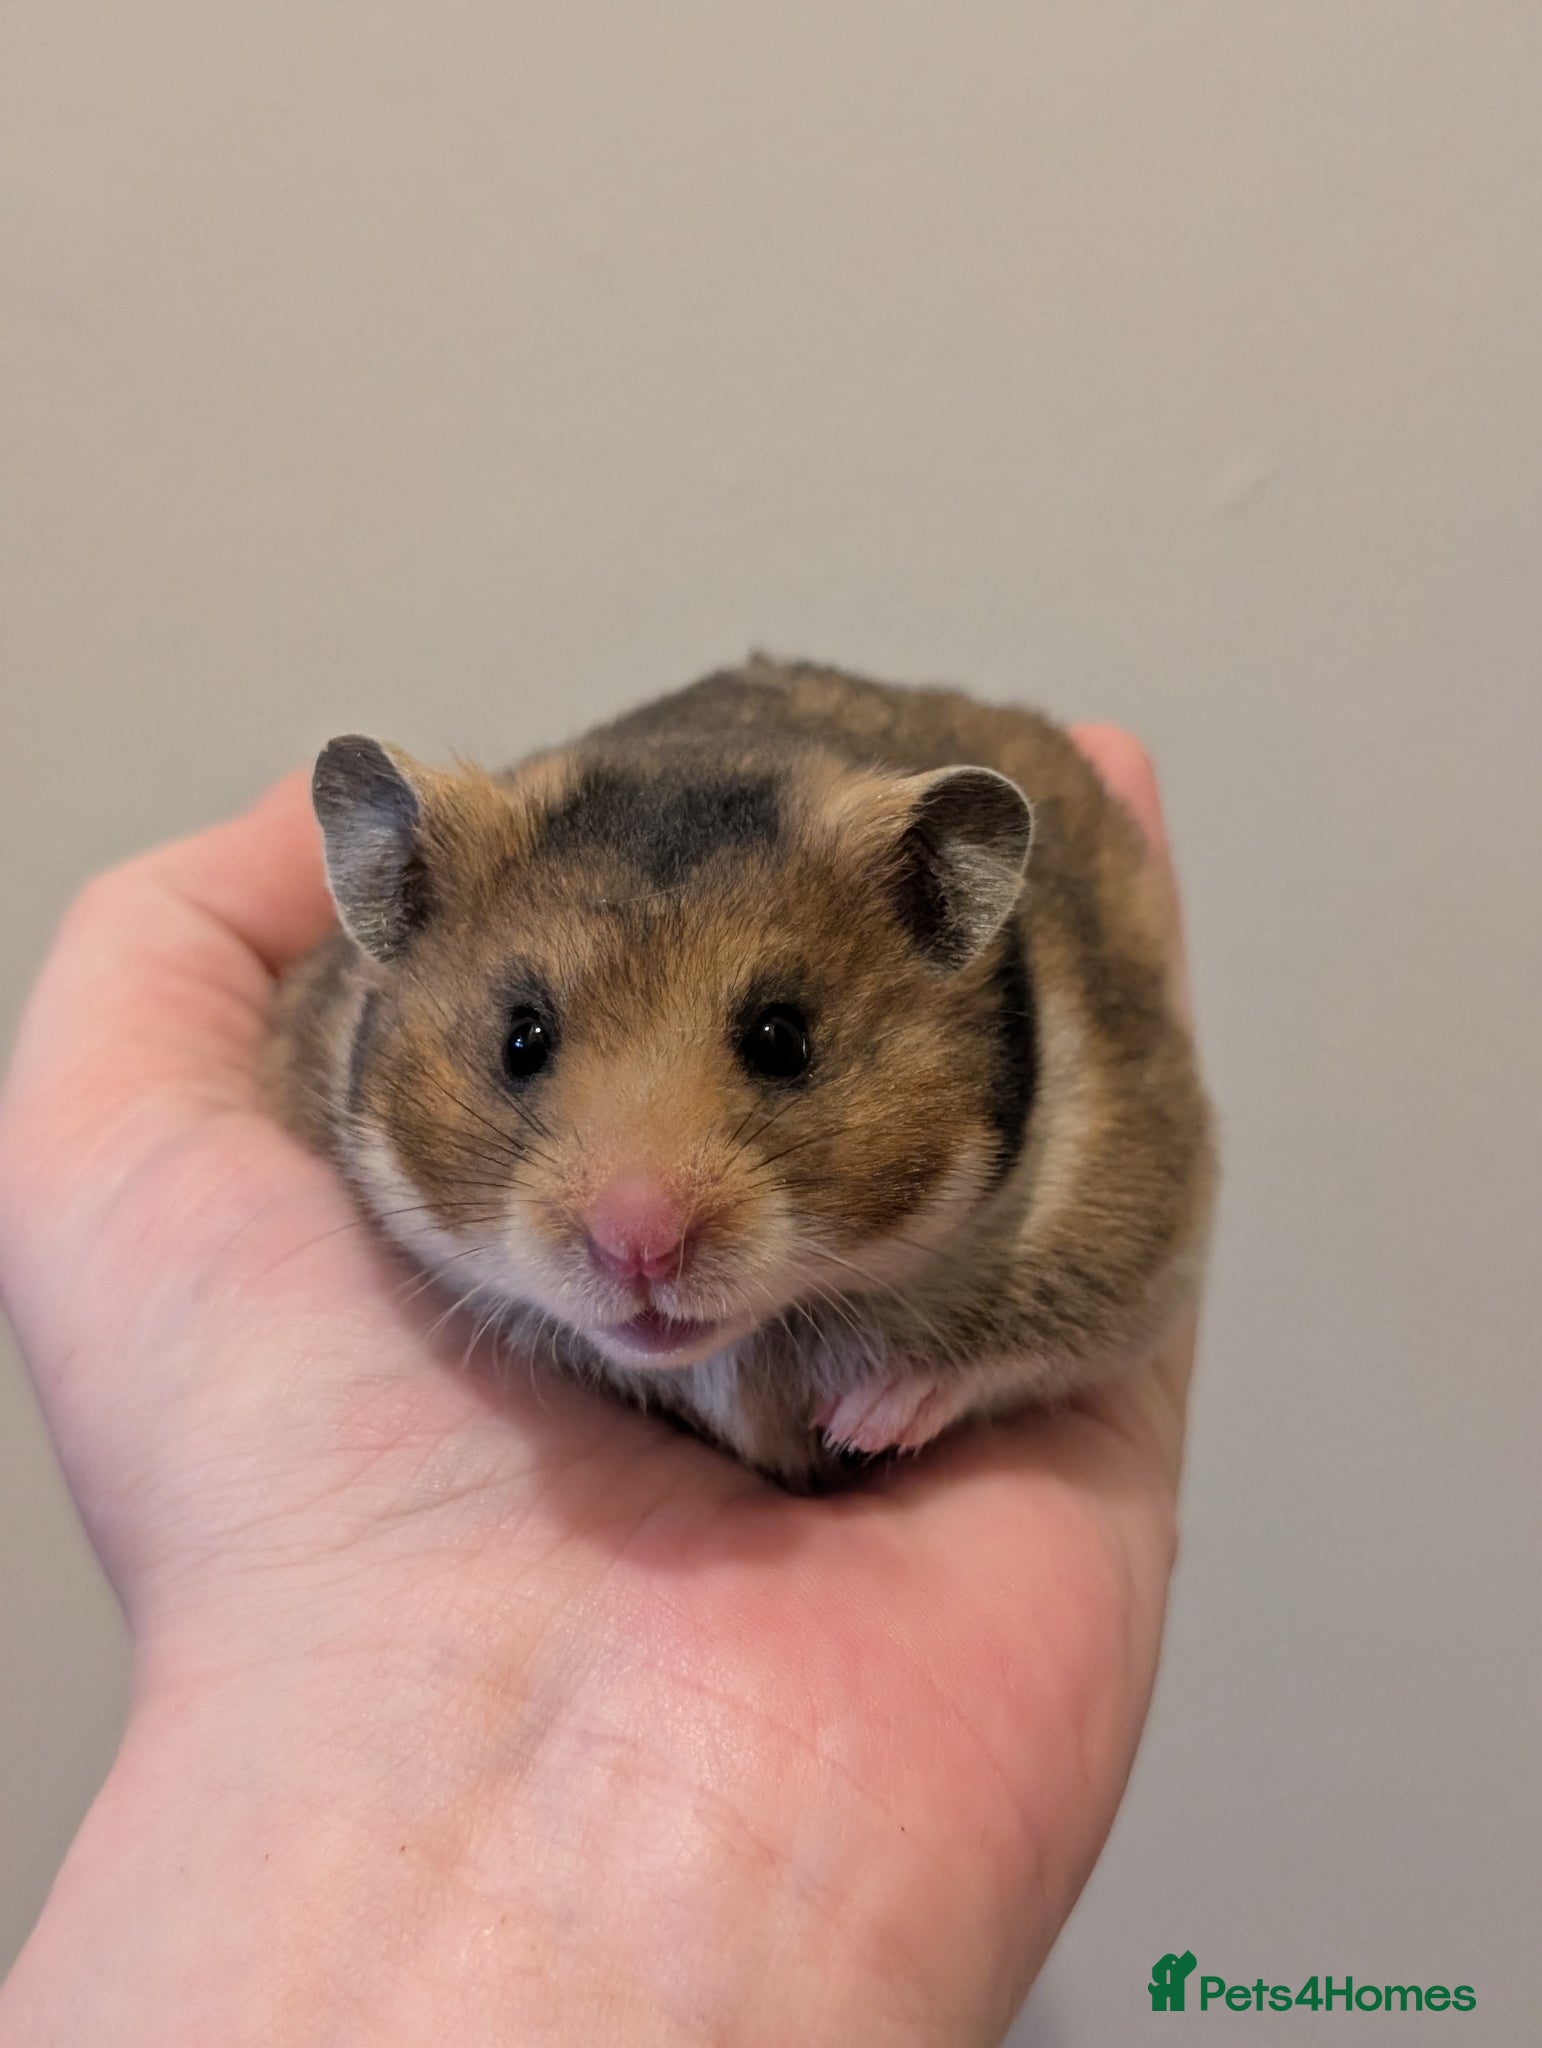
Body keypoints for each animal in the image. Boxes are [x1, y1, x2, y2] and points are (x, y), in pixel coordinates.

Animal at [265, 656, 1215, 1489]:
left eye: (781, 1038)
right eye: (522, 1040)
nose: (639, 1247)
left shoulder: (1126, 1227)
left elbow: (1001, 1351)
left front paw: (863, 1421)